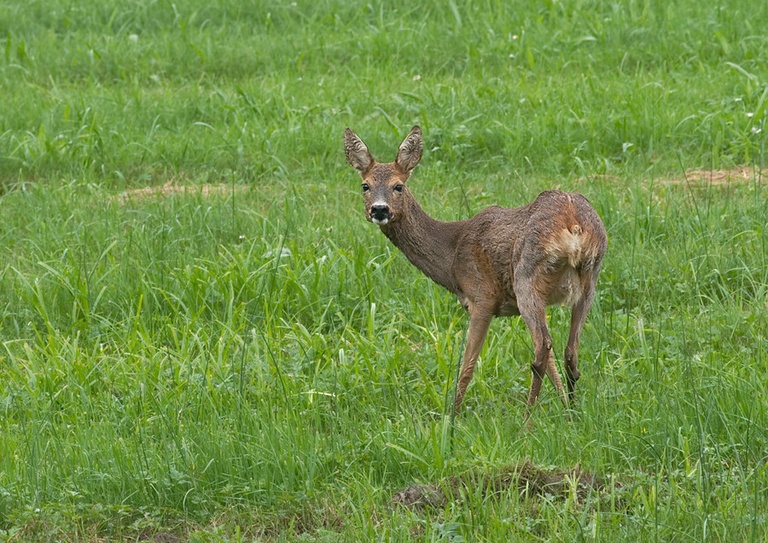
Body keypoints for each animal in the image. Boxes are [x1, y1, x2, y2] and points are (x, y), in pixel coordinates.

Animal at [344, 125, 607, 421]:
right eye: (365, 185)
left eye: (398, 186)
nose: (379, 209)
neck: (452, 255)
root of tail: (573, 224)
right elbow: (552, 365)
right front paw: (565, 409)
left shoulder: (483, 298)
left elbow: (467, 365)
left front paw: (452, 418)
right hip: (589, 280)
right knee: (569, 350)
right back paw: (573, 411)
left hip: (526, 277)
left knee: (542, 348)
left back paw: (526, 422)